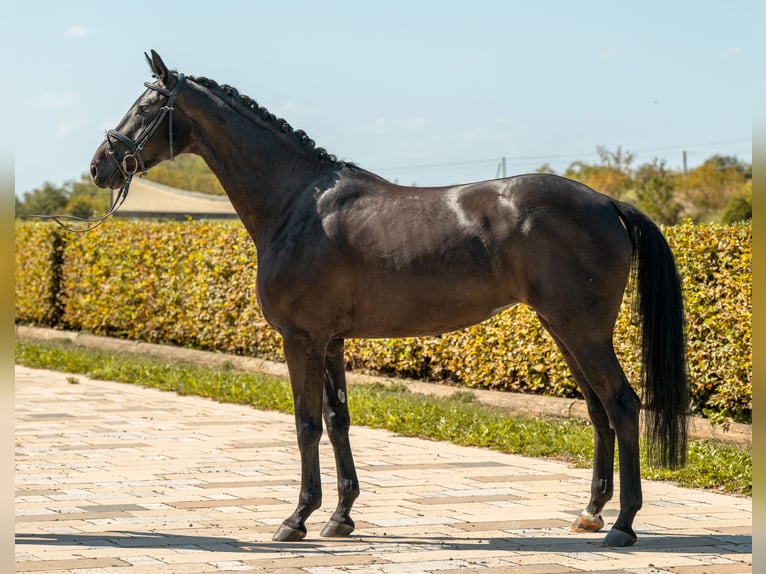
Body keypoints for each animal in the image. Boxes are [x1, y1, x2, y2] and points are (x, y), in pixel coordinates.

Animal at [89, 50, 688, 547]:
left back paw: (623, 524)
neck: (296, 205)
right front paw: (340, 516)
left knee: (622, 405)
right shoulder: (330, 341)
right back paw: (590, 513)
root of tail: (607, 202)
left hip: (583, 332)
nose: (99, 165)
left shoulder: (301, 340)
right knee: (597, 410)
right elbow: (337, 421)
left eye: (147, 107)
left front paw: (296, 518)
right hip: (564, 330)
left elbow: (306, 424)